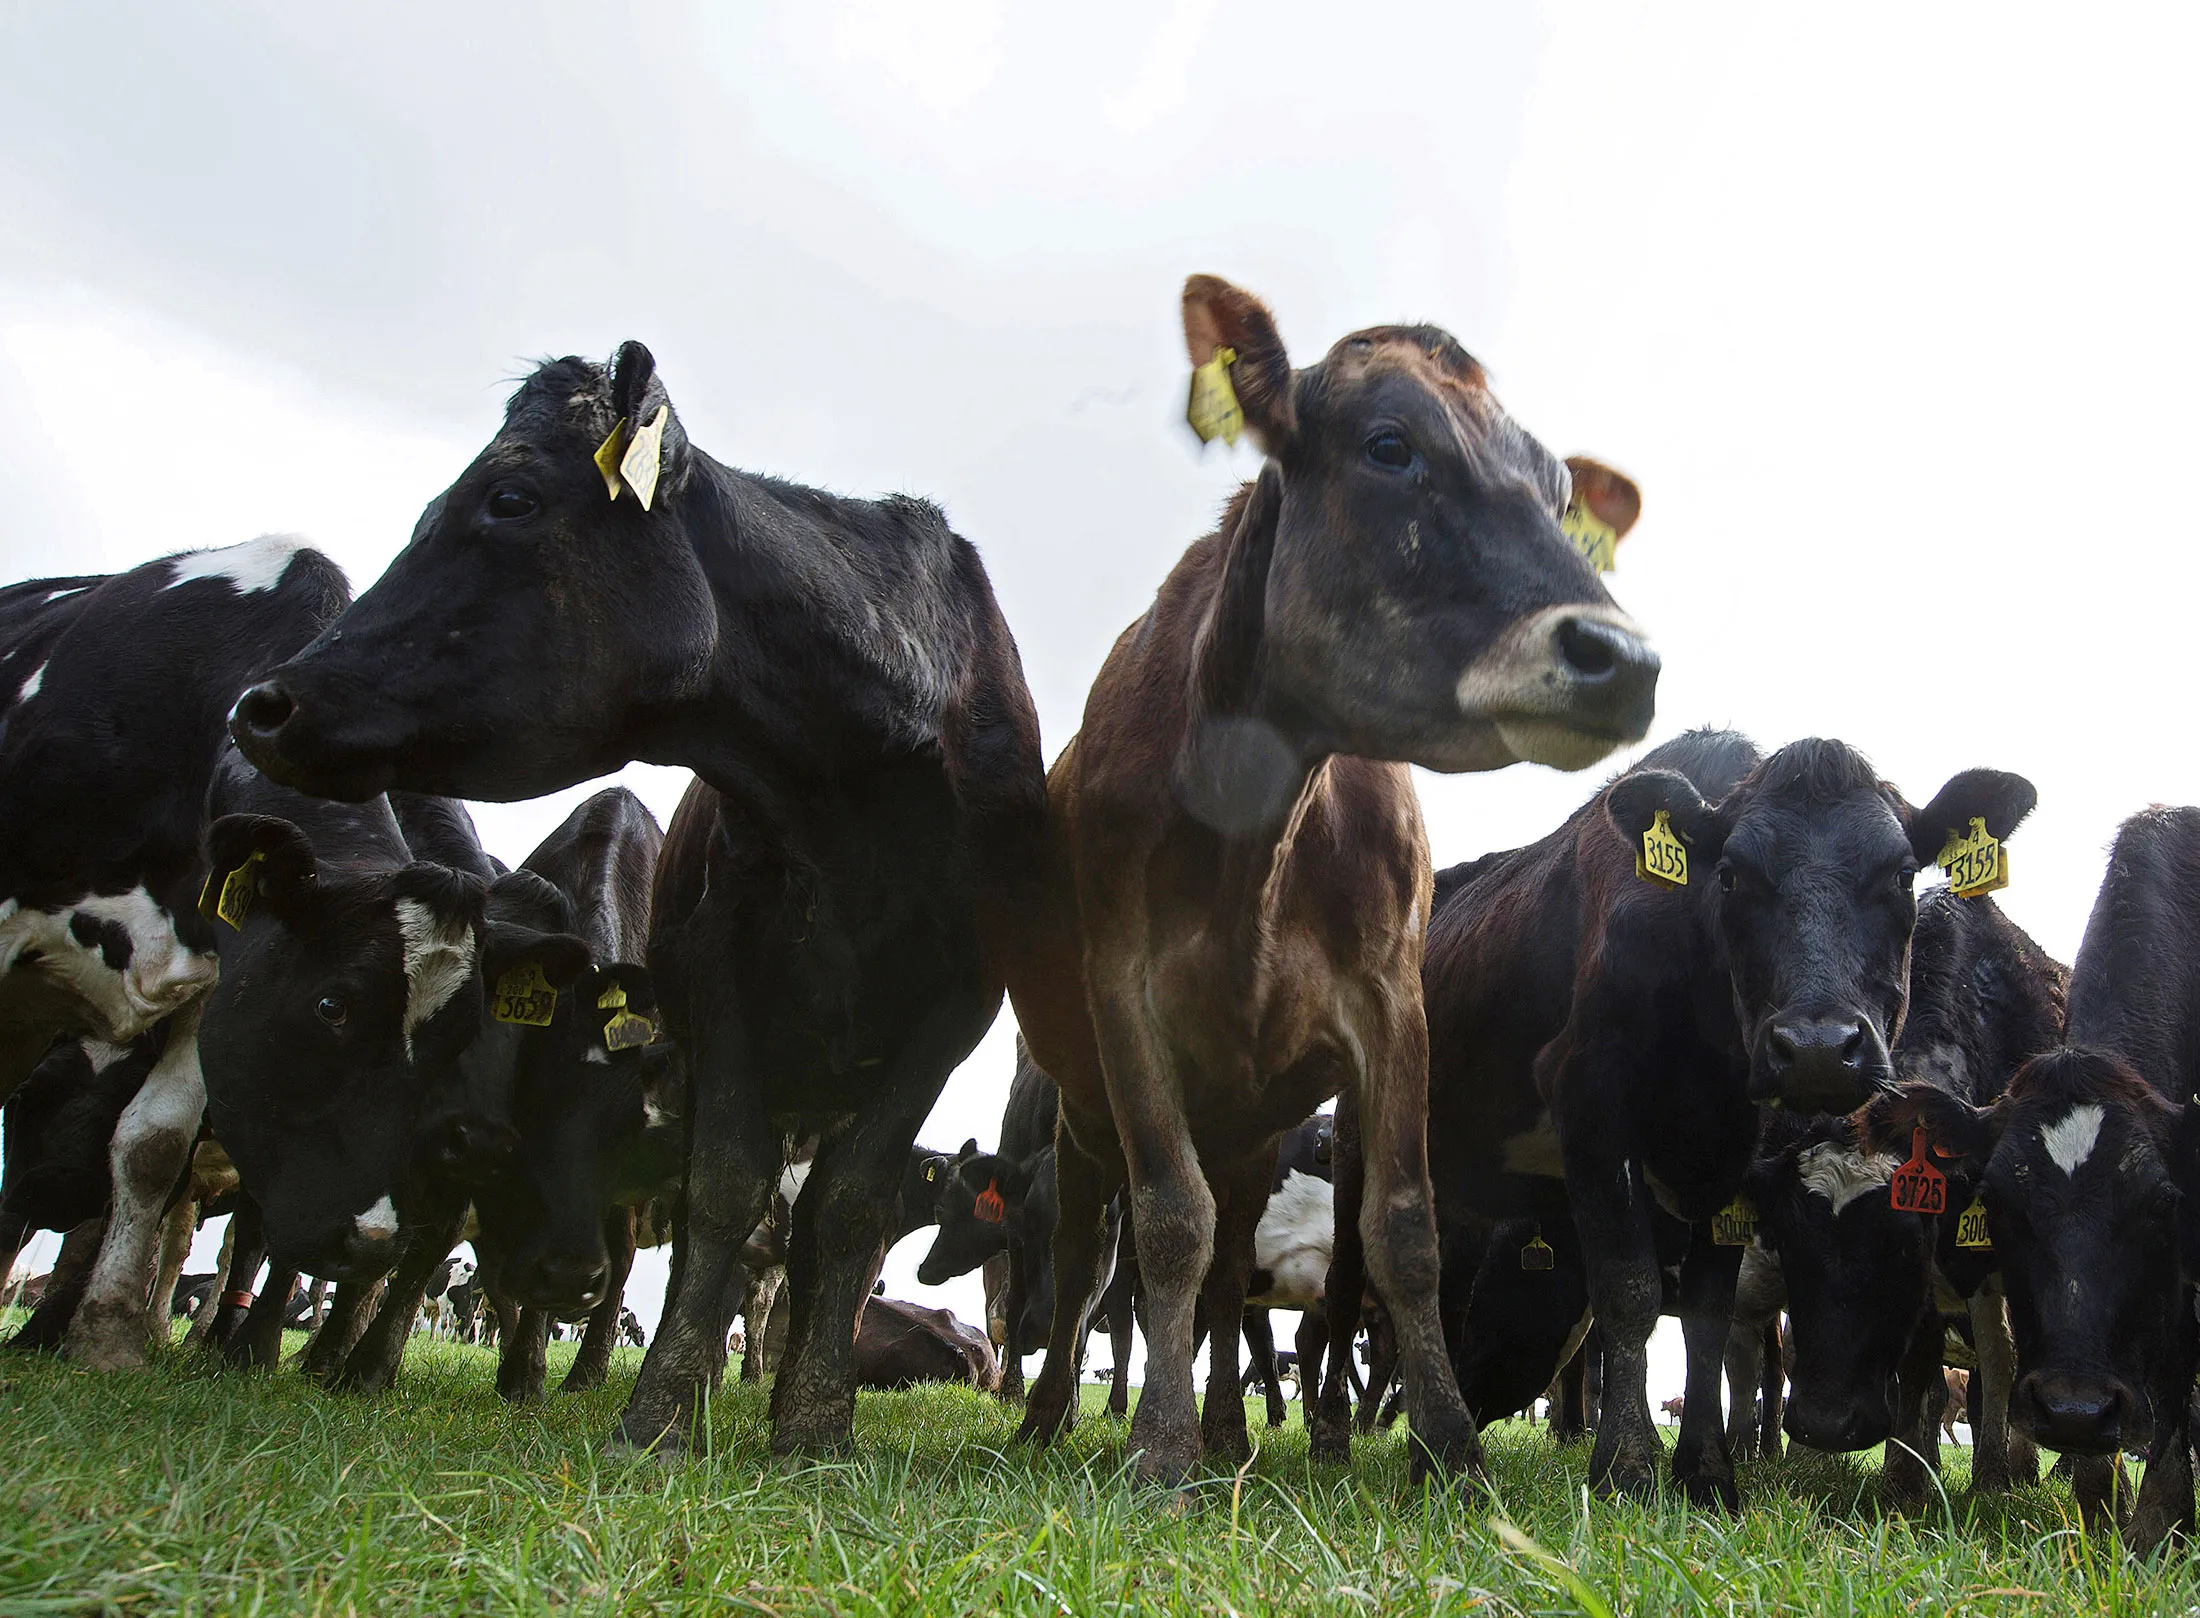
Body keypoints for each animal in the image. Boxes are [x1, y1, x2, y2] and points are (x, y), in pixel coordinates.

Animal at [229, 340, 1048, 1459]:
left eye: (510, 498)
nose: (264, 703)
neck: (854, 793)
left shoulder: (956, 1003)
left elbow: (849, 1208)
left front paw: (813, 1422)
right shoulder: (725, 975)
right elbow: (722, 1192)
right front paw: (659, 1410)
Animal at [1004, 275, 1659, 1487]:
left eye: (1559, 493)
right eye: (1389, 445)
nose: (1624, 658)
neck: (1250, 829)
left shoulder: (1389, 1001)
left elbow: (1400, 1230)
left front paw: (1449, 1445)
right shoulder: (1123, 992)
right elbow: (1165, 1223)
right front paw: (1157, 1449)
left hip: (1254, 1128)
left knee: (1227, 1279)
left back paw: (1227, 1426)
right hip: (1079, 1118)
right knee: (1085, 1262)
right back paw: (1050, 1416)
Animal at [1394, 727, 2036, 1507]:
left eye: (1904, 873)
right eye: (1730, 875)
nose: (1818, 1048)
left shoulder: (1729, 1157)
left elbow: (1709, 1314)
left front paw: (1706, 1472)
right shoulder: (1592, 1109)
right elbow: (1629, 1292)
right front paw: (1626, 1467)